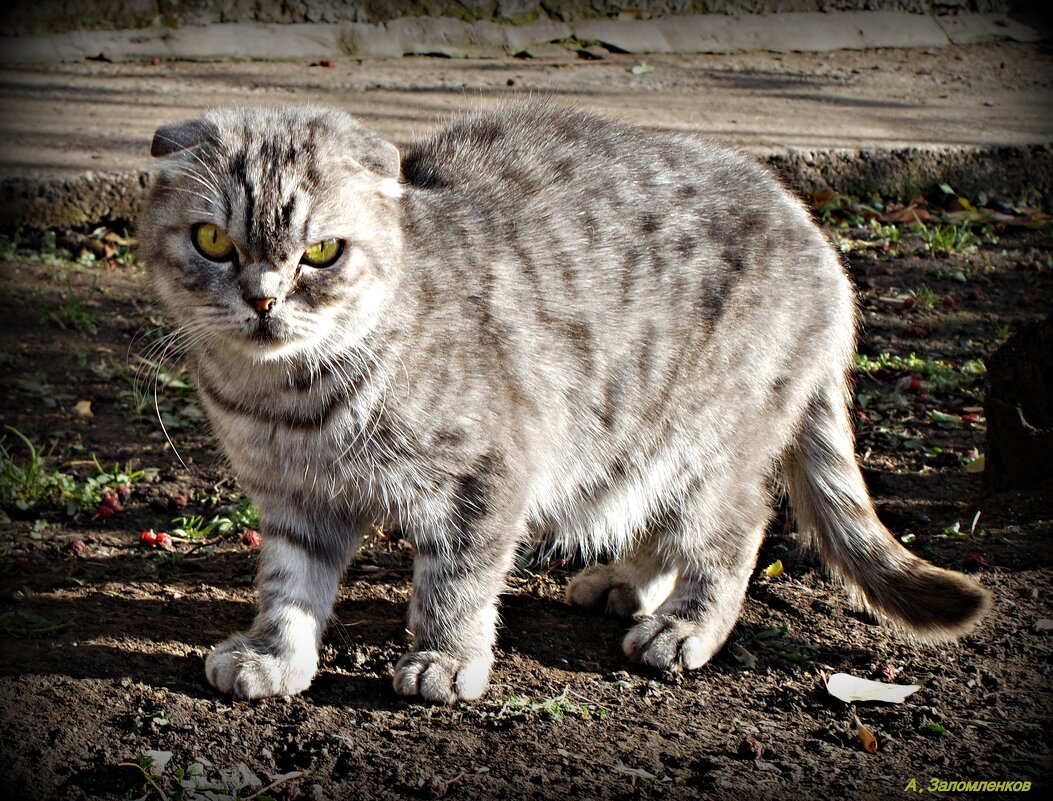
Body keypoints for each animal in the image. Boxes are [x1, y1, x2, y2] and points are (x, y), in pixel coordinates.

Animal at [135, 103, 989, 703]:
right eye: (213, 241)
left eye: (320, 252)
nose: (262, 300)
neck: (290, 399)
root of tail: (812, 232)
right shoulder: (293, 499)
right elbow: (289, 585)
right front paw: (275, 654)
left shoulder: (488, 476)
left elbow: (457, 581)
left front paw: (445, 657)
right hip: (633, 439)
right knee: (658, 516)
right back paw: (626, 582)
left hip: (708, 441)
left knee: (736, 526)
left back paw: (686, 623)